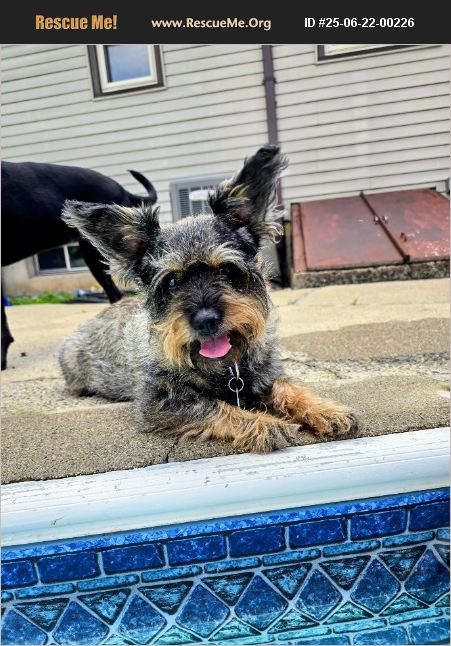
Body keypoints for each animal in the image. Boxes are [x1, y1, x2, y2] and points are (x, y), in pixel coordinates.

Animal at [58, 146, 356, 452]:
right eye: (172, 281)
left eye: (226, 269)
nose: (206, 321)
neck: (227, 367)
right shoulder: (161, 402)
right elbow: (216, 408)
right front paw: (264, 424)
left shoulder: (266, 374)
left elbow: (288, 386)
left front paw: (325, 410)